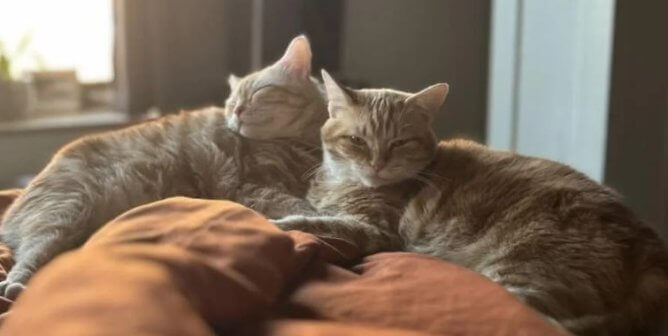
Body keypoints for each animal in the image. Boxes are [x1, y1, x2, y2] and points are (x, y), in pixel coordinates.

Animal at [0, 36, 328, 300]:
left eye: (259, 92)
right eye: (231, 100)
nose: (236, 110)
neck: (302, 143)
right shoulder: (251, 186)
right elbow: (299, 205)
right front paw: (320, 218)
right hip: (61, 211)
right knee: (24, 261)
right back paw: (15, 287)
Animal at [274, 69, 668, 334]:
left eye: (400, 143)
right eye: (356, 140)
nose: (377, 164)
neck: (342, 183)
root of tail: (646, 236)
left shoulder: (377, 230)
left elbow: (315, 222)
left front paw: (278, 222)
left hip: (522, 274)